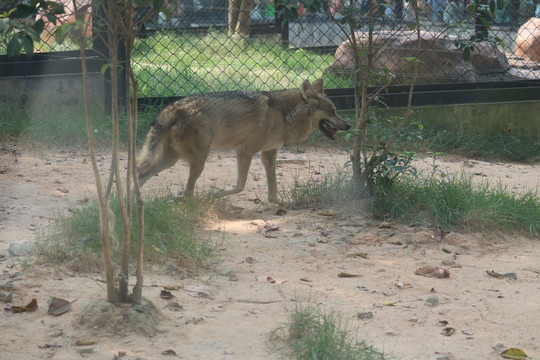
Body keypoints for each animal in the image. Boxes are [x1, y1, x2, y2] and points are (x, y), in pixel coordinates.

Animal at [136, 79, 350, 202]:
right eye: (332, 111)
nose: (348, 125)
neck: (284, 114)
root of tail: (174, 106)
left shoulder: (268, 154)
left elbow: (272, 186)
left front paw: (278, 203)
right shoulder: (244, 151)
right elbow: (240, 186)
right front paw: (216, 194)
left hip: (170, 160)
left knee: (139, 175)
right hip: (198, 161)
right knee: (187, 191)